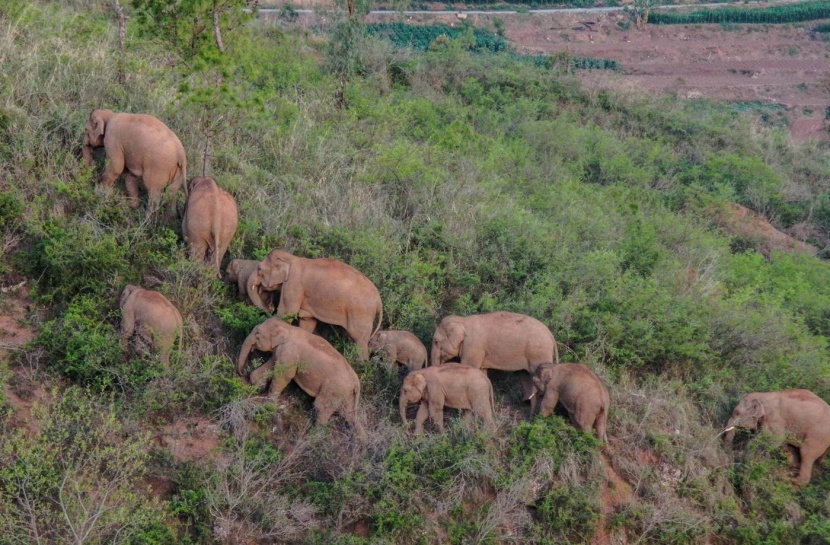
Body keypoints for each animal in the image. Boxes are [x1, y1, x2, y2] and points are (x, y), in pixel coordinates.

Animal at [234, 316, 364, 436]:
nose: (242, 372)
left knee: (321, 407)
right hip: (346, 393)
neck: (287, 327)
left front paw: (269, 405)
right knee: (348, 414)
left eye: (257, 334)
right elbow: (272, 364)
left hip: (334, 389)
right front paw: (256, 385)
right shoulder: (283, 352)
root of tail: (356, 382)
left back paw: (314, 435)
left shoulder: (289, 352)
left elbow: (285, 374)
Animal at [249, 249, 386, 360]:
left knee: (360, 340)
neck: (292, 258)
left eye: (259, 269)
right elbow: (308, 320)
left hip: (361, 313)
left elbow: (286, 313)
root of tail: (379, 301)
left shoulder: (293, 284)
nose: (270, 306)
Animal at [432, 310, 564, 412]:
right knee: (526, 378)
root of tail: (551, 335)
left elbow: (470, 366)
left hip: (539, 354)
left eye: (436, 342)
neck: (462, 320)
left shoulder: (473, 347)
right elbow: (481, 371)